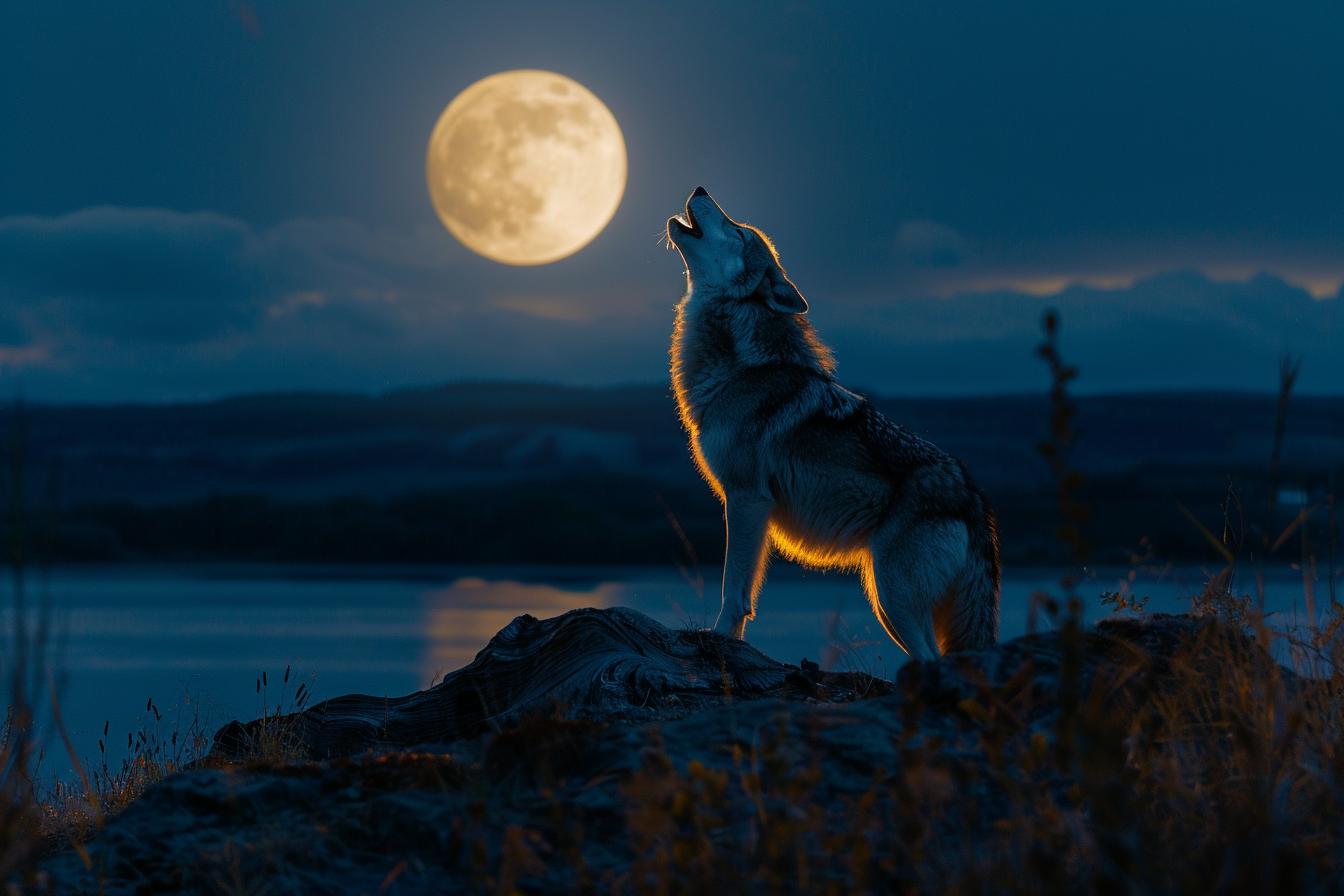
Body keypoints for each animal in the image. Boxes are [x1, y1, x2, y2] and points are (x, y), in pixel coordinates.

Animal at [666, 187, 1000, 661]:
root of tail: (972, 496)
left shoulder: (746, 499)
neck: (742, 367)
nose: (699, 189)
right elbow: (747, 597)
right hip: (888, 603)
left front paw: (718, 641)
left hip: (891, 598)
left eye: (738, 231)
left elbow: (733, 591)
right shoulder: (756, 511)